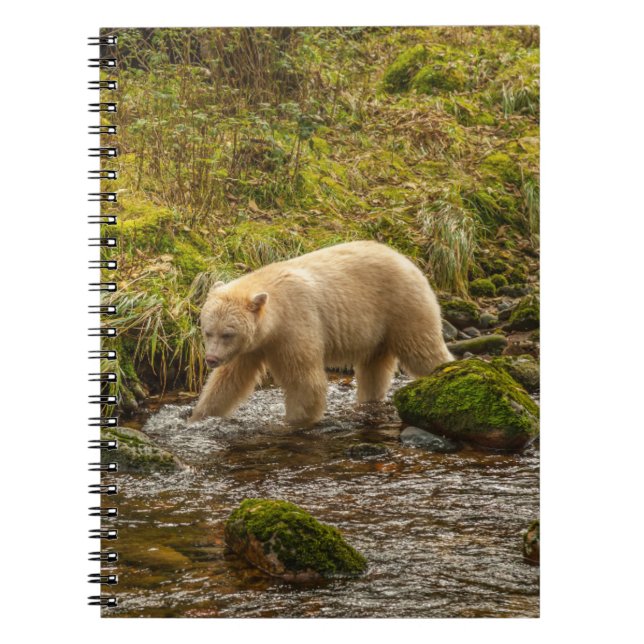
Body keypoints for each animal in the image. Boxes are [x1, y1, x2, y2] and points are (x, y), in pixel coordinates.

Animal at [189, 240, 453, 426]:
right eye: (208, 331)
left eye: (228, 334)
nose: (211, 359)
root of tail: (407, 260)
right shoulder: (253, 346)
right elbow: (229, 381)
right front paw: (198, 416)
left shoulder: (295, 326)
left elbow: (304, 381)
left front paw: (293, 422)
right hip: (378, 330)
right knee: (374, 368)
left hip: (402, 307)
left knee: (422, 350)